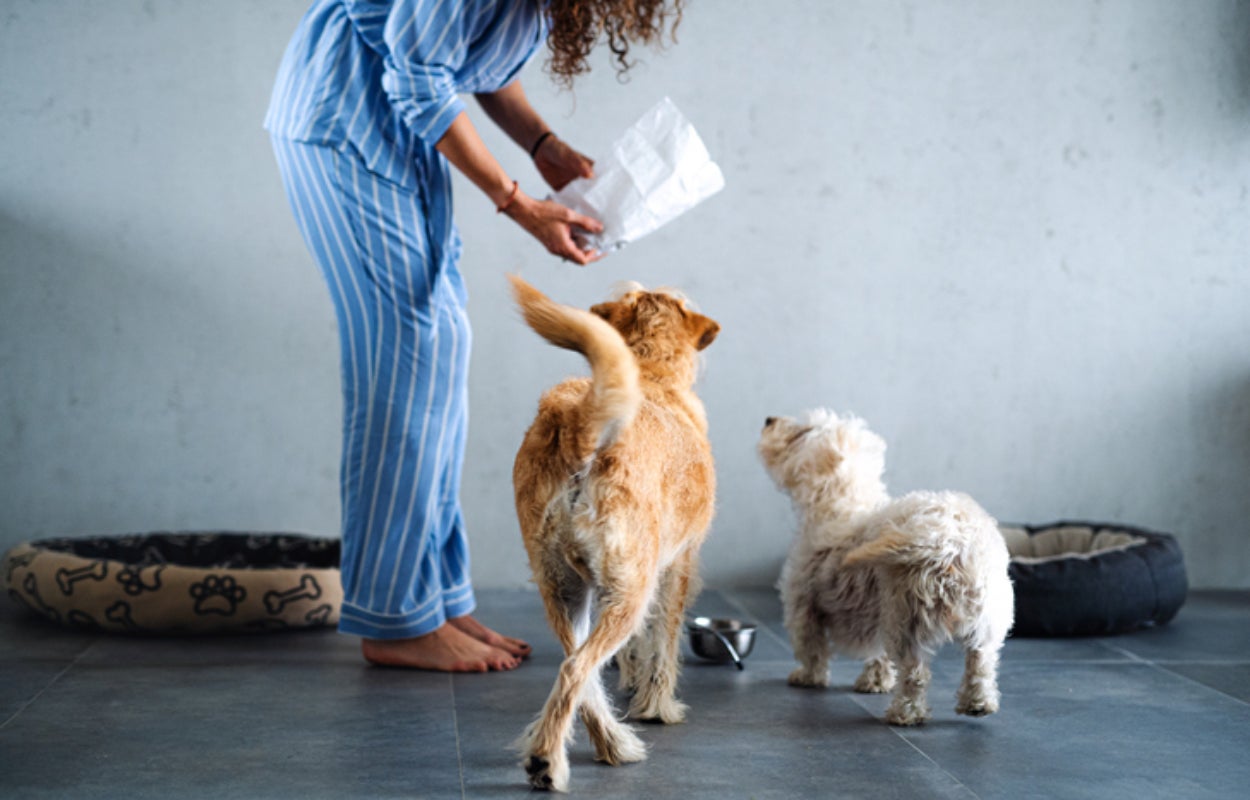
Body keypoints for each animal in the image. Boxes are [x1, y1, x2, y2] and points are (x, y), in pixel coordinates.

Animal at [507, 276, 720, 795]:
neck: (650, 371)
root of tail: (577, 426)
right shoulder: (678, 566)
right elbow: (663, 641)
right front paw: (656, 706)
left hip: (562, 586)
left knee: (575, 665)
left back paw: (603, 745)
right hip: (630, 588)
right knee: (577, 667)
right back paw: (551, 759)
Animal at [755, 410, 1010, 730]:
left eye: (801, 432)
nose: (768, 419)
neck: (842, 502)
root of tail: (944, 539)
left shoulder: (803, 602)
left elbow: (810, 645)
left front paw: (808, 677)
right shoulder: (875, 610)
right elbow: (877, 652)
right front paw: (875, 681)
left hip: (909, 619)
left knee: (915, 674)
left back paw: (905, 713)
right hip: (986, 618)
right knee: (981, 662)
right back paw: (978, 704)